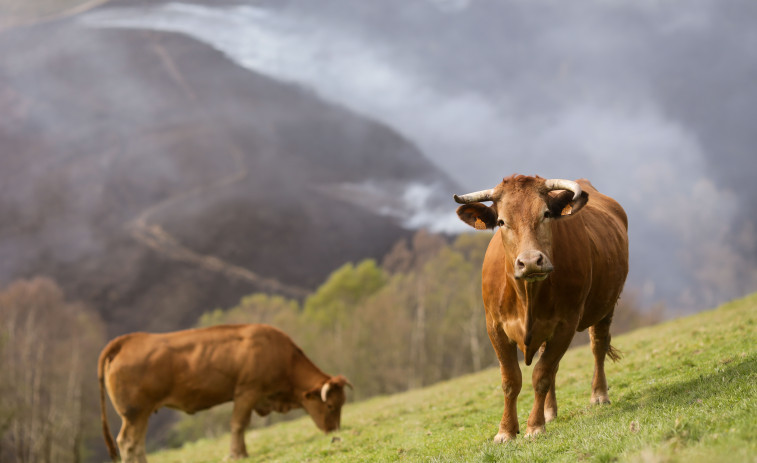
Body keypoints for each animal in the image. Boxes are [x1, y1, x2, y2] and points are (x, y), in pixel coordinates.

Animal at [96, 324, 352, 462]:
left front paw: (243, 452)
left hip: (142, 414)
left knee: (137, 443)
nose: (335, 431)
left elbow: (242, 426)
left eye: (342, 404)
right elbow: (238, 425)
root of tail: (128, 340)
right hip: (134, 413)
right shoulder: (247, 392)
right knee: (127, 442)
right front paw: (237, 455)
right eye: (330, 406)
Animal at [454, 176, 628, 444]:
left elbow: (541, 375)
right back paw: (549, 411)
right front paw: (506, 430)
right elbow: (511, 379)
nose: (530, 262)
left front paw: (534, 426)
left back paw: (599, 394)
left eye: (546, 214)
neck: (527, 295)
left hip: (606, 305)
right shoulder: (494, 327)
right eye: (501, 221)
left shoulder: (566, 324)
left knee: (597, 346)